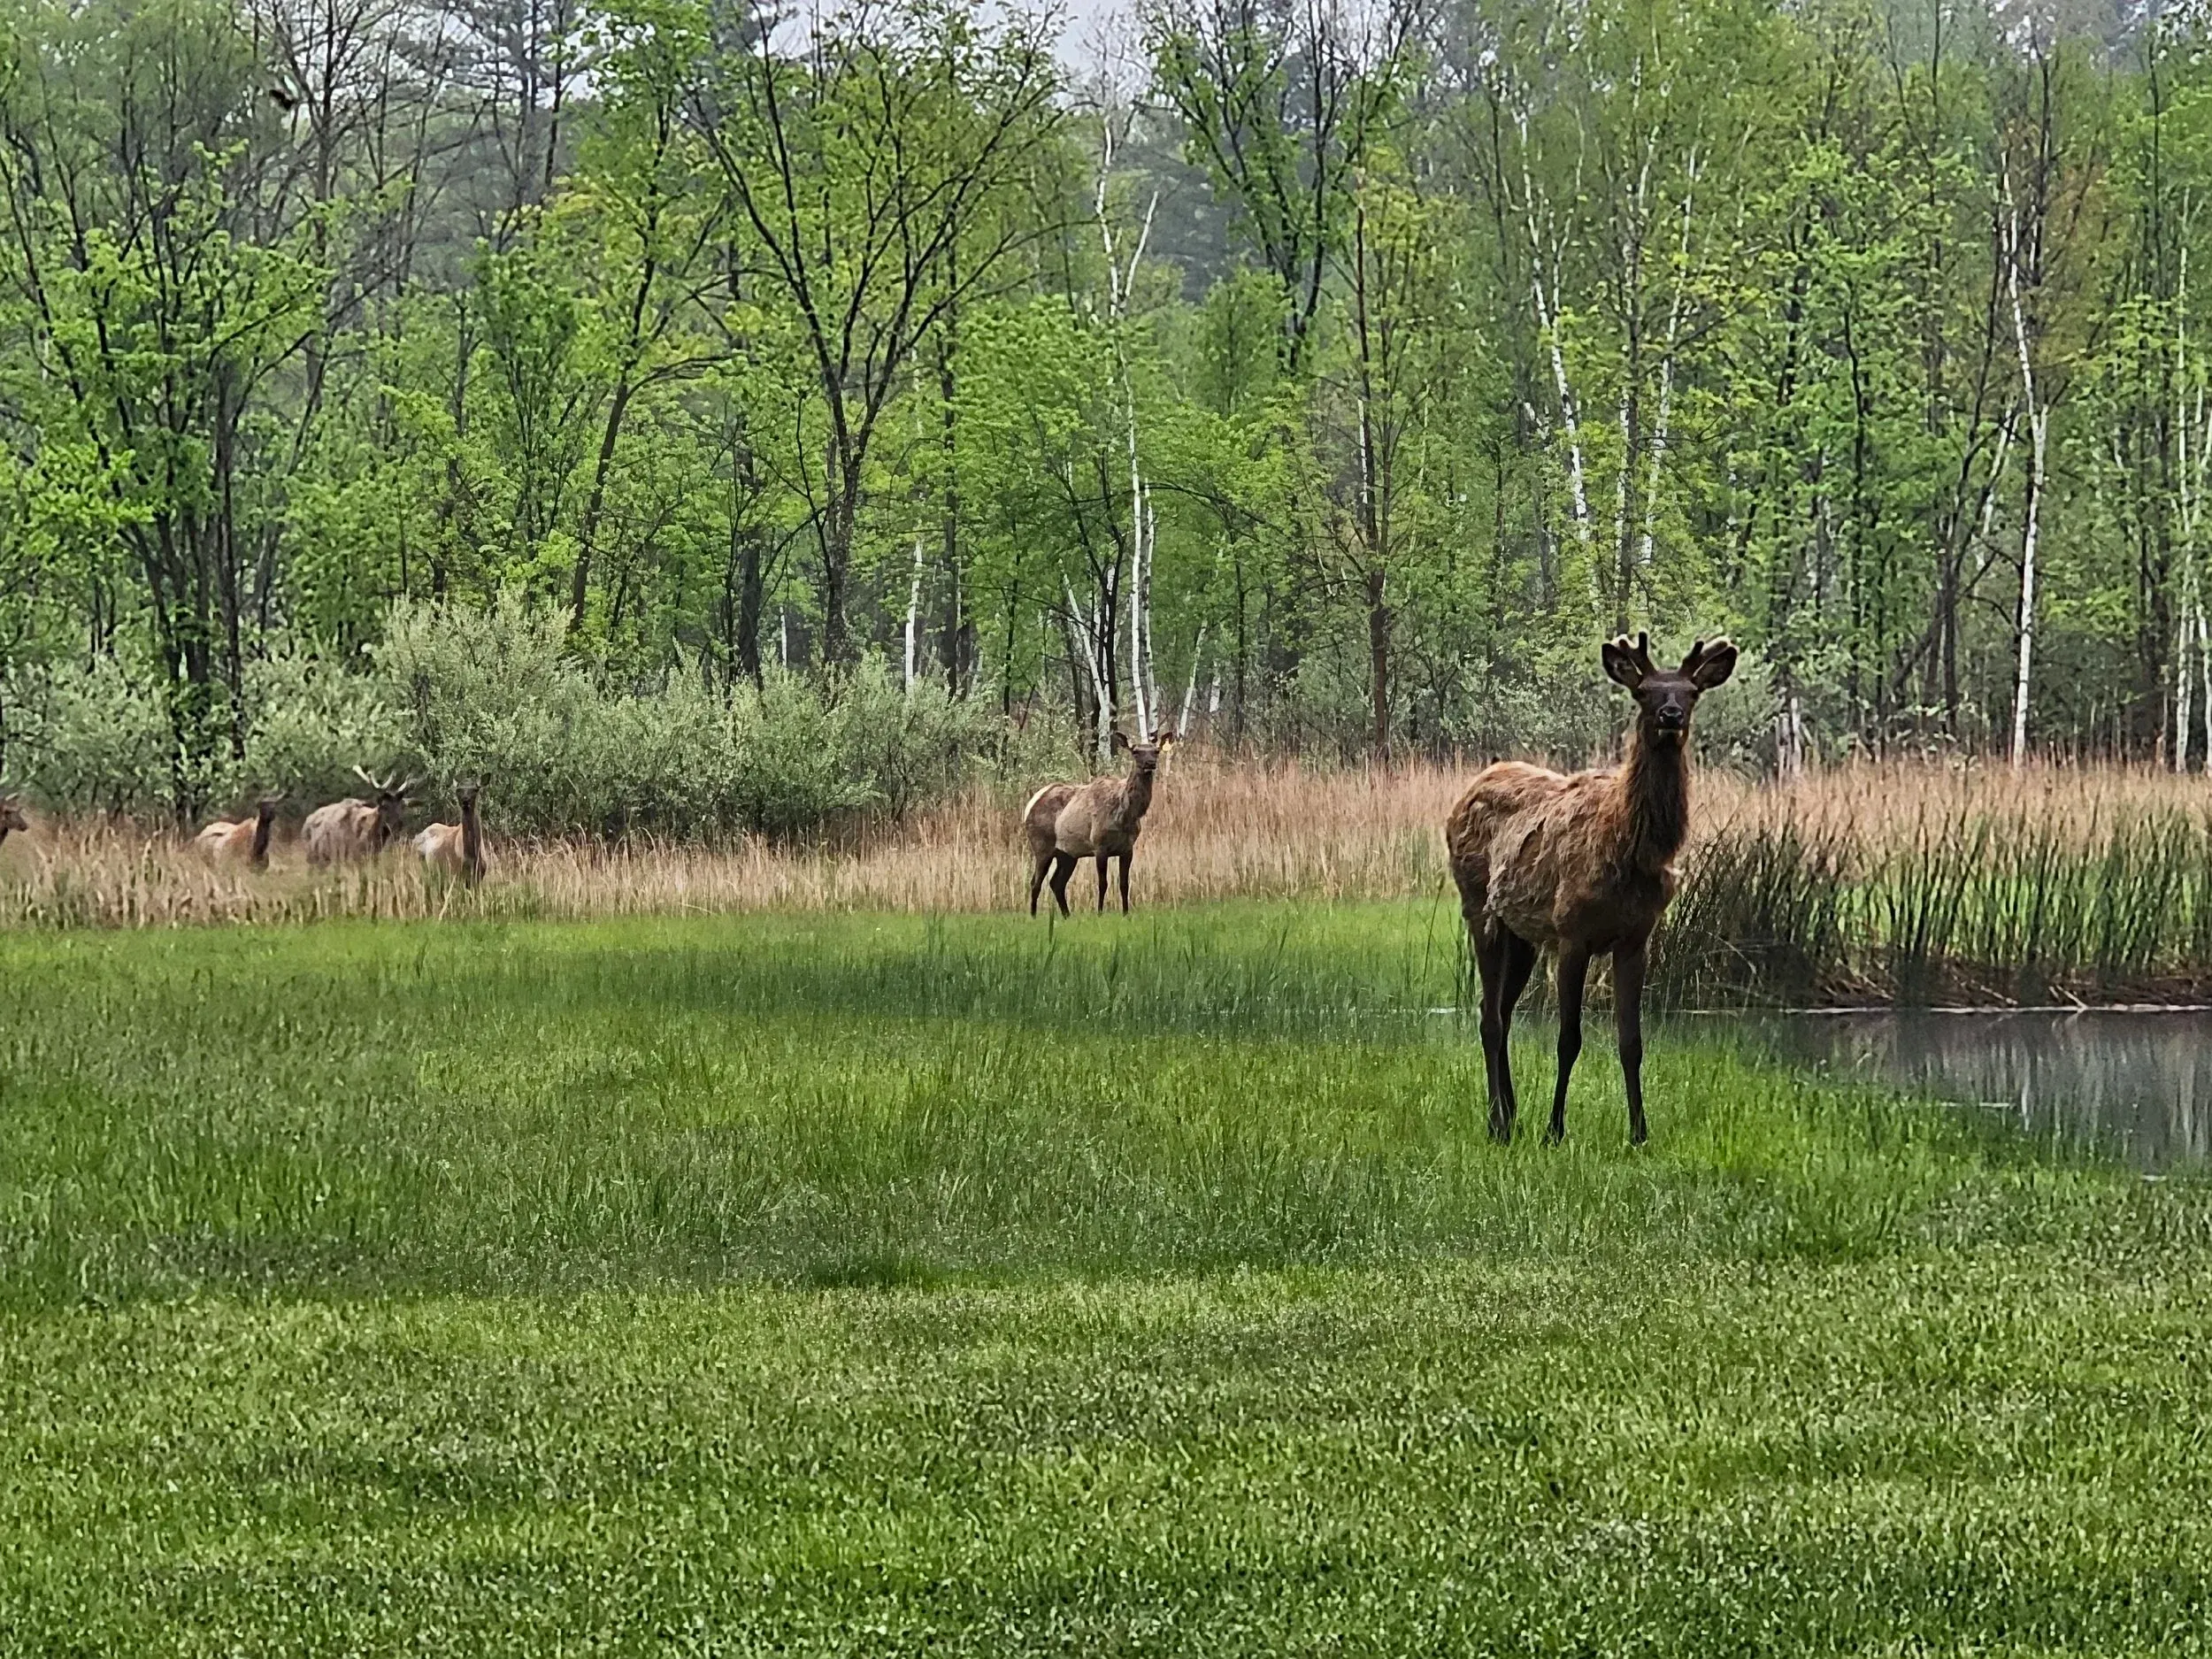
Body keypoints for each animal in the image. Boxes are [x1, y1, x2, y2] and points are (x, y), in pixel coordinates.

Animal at [1023, 730, 1175, 916]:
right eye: (1135, 751)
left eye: (1156, 751)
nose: (1150, 763)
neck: (1126, 816)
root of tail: (1030, 804)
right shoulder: (1099, 846)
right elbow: (1103, 884)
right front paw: (1100, 912)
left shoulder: (1128, 848)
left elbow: (1124, 884)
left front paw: (1126, 914)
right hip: (1042, 845)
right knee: (1035, 882)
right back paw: (1033, 915)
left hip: (1068, 853)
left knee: (1056, 883)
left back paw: (1067, 915)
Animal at [1446, 633, 1737, 1147]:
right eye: (1643, 692)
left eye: (1691, 693)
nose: (1670, 716)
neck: (1628, 848)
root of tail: (1471, 787)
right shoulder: (1572, 932)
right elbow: (1569, 1039)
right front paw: (1554, 1129)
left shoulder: (1636, 939)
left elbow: (1631, 1042)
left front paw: (1639, 1132)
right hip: (1479, 906)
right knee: (1490, 1016)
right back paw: (1500, 1123)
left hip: (1523, 935)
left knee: (1499, 1009)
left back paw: (1509, 1113)